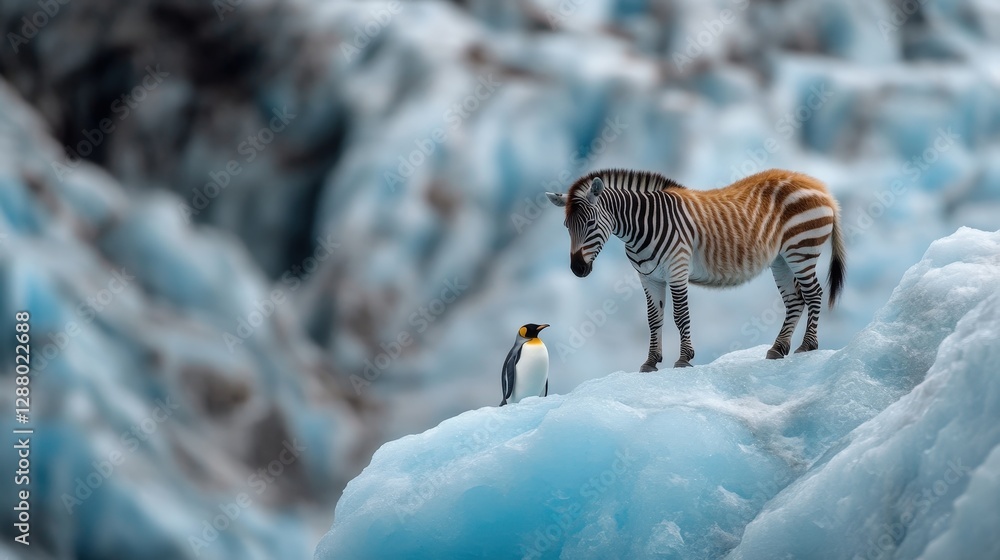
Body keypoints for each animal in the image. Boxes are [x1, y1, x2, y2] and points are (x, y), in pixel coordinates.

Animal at [546, 168, 846, 371]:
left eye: (591, 224)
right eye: (566, 227)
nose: (578, 269)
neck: (641, 227)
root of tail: (818, 186)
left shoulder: (677, 270)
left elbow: (680, 316)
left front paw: (683, 359)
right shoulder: (649, 278)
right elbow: (654, 319)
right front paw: (650, 362)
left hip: (801, 249)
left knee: (814, 294)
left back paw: (807, 346)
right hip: (782, 259)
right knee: (795, 300)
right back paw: (777, 348)